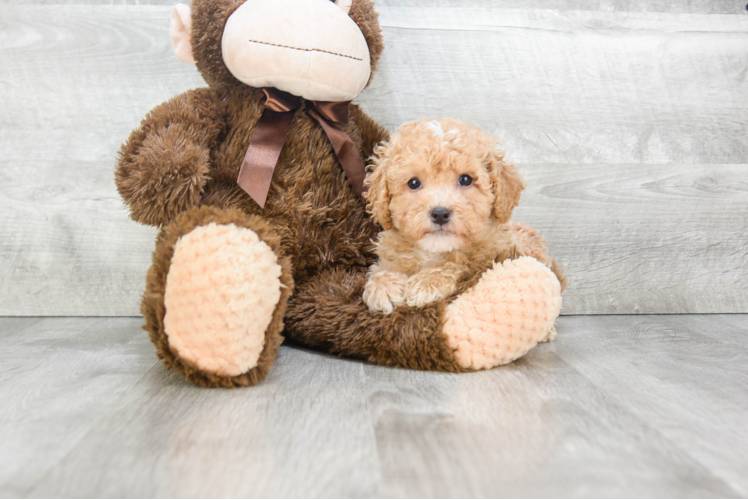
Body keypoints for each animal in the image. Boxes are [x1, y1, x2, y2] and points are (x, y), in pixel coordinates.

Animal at [362, 117, 560, 314]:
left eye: (465, 179)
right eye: (413, 183)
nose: (440, 214)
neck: (434, 252)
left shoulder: (491, 257)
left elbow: (461, 265)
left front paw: (427, 282)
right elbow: (384, 266)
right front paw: (384, 285)